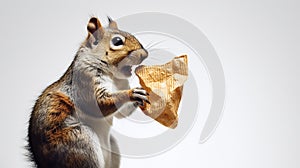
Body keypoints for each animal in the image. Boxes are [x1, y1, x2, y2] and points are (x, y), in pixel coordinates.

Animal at [27, 16, 149, 168]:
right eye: (117, 41)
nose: (145, 54)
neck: (113, 77)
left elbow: (121, 113)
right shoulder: (85, 79)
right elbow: (98, 104)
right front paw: (131, 93)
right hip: (81, 142)